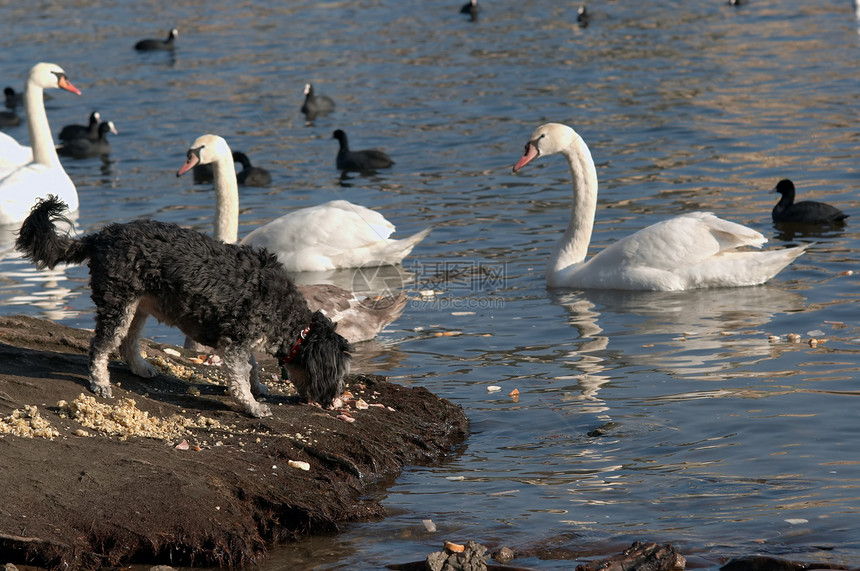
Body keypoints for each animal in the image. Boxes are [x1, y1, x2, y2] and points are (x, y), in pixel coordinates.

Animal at [15, 199, 350, 418]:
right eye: (338, 374)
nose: (333, 400)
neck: (292, 321)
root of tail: (101, 236)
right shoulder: (235, 342)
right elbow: (239, 377)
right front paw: (252, 405)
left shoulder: (240, 338)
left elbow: (252, 367)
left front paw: (259, 387)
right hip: (118, 304)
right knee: (100, 346)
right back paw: (100, 382)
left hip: (139, 306)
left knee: (127, 343)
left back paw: (140, 368)